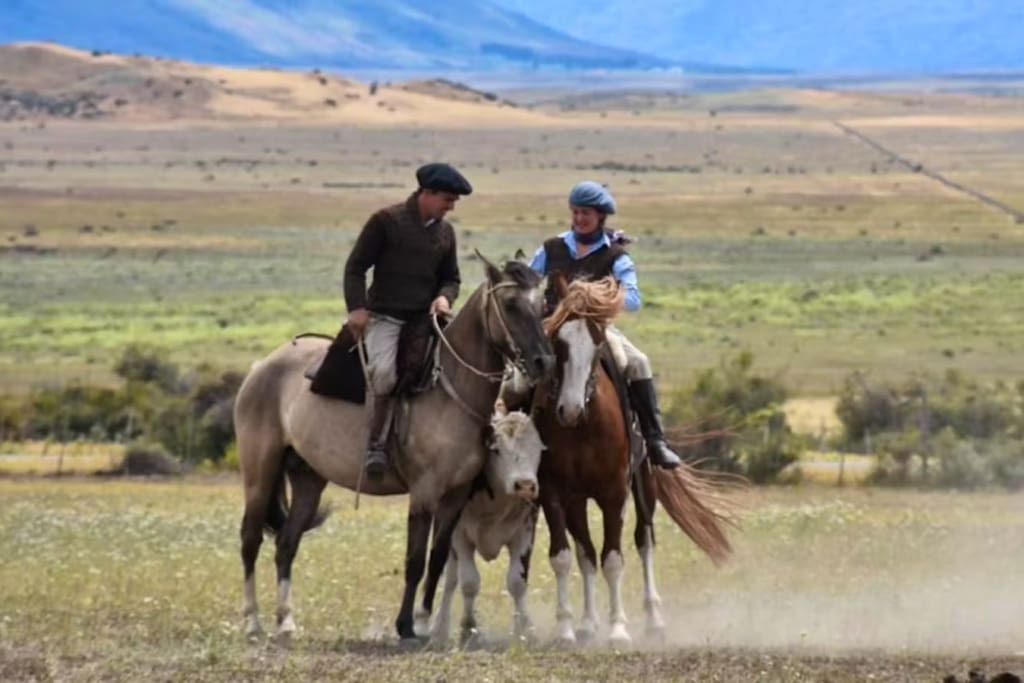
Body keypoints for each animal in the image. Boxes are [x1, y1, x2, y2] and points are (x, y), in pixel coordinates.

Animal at [234, 254, 552, 643]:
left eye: (541, 305)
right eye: (509, 304)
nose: (543, 362)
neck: (450, 388)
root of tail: (261, 367)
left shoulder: (455, 495)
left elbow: (437, 557)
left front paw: (425, 621)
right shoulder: (425, 492)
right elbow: (415, 560)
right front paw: (406, 625)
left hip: (308, 478)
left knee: (286, 544)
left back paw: (286, 621)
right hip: (259, 471)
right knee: (250, 539)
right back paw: (253, 621)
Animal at [532, 276, 733, 647]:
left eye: (597, 345)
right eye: (558, 343)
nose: (569, 410)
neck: (584, 428)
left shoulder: (615, 494)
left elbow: (614, 559)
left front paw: (618, 630)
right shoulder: (554, 495)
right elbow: (564, 557)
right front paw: (567, 629)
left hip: (646, 486)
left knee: (644, 542)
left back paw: (654, 621)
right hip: (577, 501)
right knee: (585, 554)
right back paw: (587, 625)